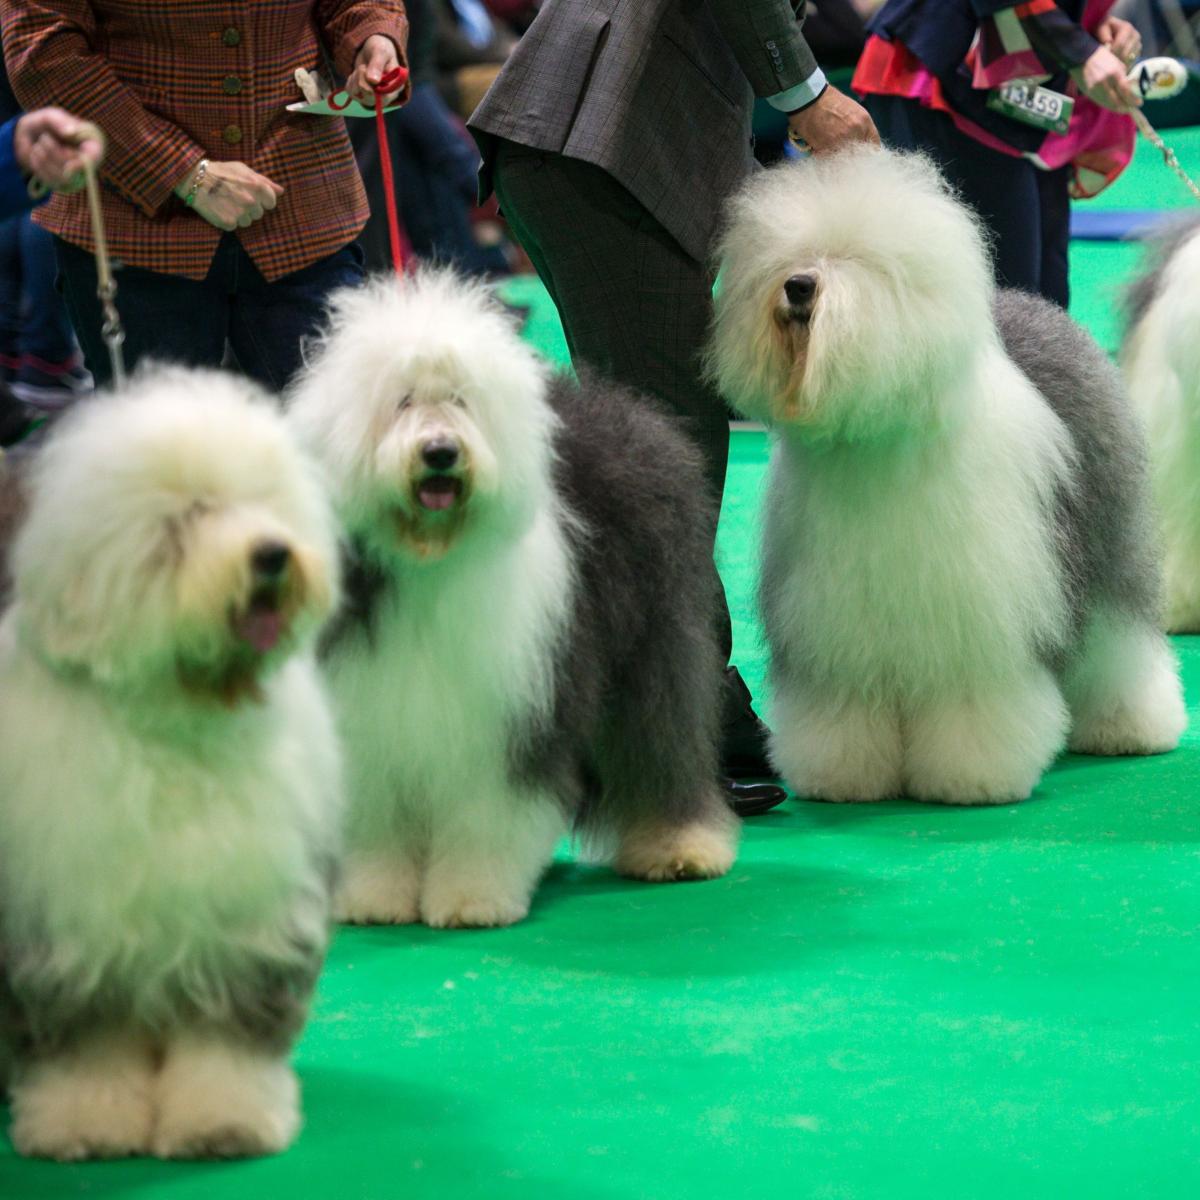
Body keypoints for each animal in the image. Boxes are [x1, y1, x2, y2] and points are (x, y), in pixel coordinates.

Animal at [0, 369, 343, 1156]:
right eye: (190, 516)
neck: (178, 722)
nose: (272, 554)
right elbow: (89, 1045)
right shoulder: (69, 924)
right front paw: (86, 1121)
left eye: (262, 503)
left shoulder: (244, 911)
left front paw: (226, 1120)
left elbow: (225, 1042)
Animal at [286, 272, 734, 926]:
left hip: (653, 644)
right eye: (402, 402)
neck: (430, 563)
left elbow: (487, 816)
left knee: (660, 740)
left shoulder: (510, 714)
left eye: (461, 401)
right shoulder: (370, 714)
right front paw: (373, 897)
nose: (440, 452)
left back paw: (680, 845)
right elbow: (376, 819)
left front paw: (472, 898)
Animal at [705, 152, 1185, 806]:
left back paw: (1130, 727)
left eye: (860, 261)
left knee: (1120, 641)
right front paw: (842, 775)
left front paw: (972, 776)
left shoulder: (975, 617)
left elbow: (972, 700)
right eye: (785, 256)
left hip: (1106, 543)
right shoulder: (835, 621)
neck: (881, 439)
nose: (798, 286)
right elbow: (843, 704)